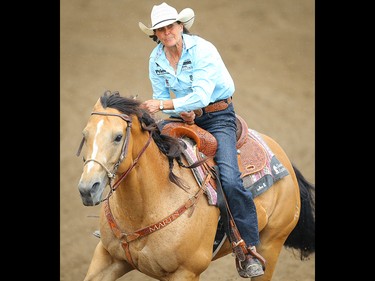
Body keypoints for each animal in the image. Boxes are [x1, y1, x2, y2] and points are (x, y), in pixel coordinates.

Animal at [75, 91, 314, 278]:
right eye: (85, 134)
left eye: (118, 137)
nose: (88, 189)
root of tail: (283, 158)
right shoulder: (107, 258)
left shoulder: (185, 272)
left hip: (271, 245)